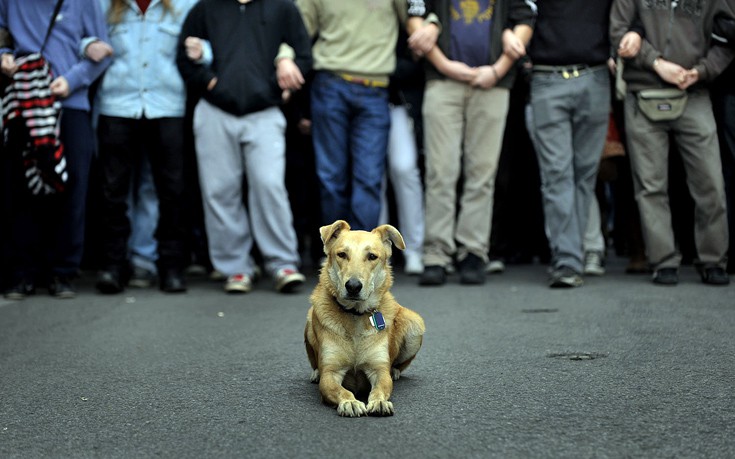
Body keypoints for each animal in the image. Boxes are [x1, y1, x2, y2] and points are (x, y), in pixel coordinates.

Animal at [304, 221, 428, 418]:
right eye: (342, 254)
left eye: (372, 256)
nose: (353, 286)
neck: (356, 315)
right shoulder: (331, 373)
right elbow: (340, 390)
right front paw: (350, 402)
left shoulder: (379, 370)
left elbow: (380, 388)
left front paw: (379, 402)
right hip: (309, 320)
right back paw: (315, 373)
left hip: (415, 323)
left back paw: (395, 371)